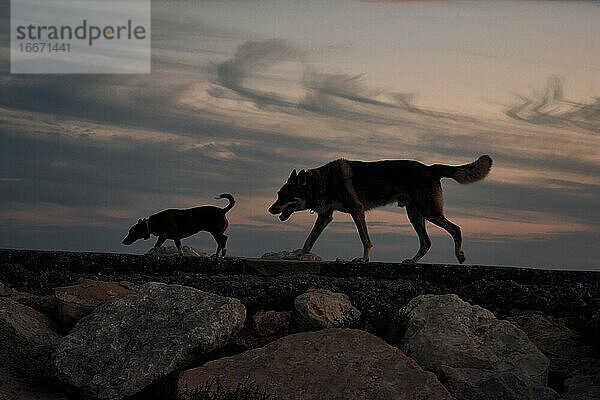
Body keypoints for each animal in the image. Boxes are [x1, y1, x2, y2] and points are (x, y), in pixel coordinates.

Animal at [268, 155, 492, 262]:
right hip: (415, 215)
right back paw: (412, 261)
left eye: (284, 196)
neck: (321, 182)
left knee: (456, 229)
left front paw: (364, 259)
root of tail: (430, 168)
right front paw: (296, 256)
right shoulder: (325, 217)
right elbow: (308, 241)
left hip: (429, 212)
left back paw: (459, 255)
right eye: (278, 194)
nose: (270, 210)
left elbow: (365, 239)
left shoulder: (357, 211)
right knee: (426, 242)